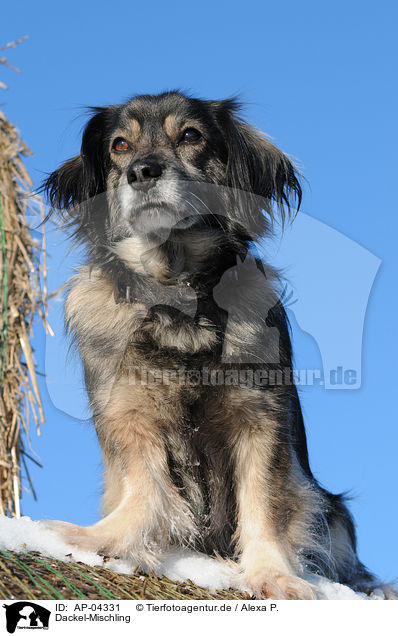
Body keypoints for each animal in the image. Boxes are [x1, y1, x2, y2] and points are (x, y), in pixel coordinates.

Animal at [43, 92, 392, 600]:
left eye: (191, 135)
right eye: (119, 145)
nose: (142, 171)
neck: (179, 300)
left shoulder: (260, 420)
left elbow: (263, 503)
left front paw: (272, 574)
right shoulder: (130, 414)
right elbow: (144, 487)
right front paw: (101, 538)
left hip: (333, 511)